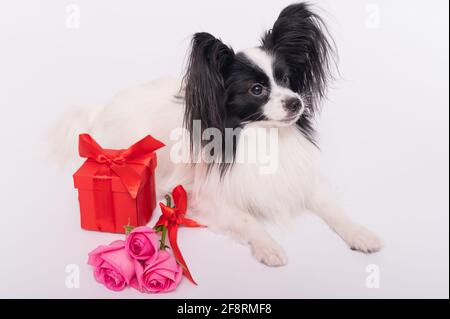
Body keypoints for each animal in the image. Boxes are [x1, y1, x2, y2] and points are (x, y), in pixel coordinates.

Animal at [54, 3, 382, 268]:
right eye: (256, 89)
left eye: (287, 79)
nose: (296, 102)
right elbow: (247, 219)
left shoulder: (303, 182)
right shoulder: (207, 200)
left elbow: (334, 209)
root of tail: (102, 108)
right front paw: (269, 246)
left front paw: (360, 233)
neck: (263, 136)